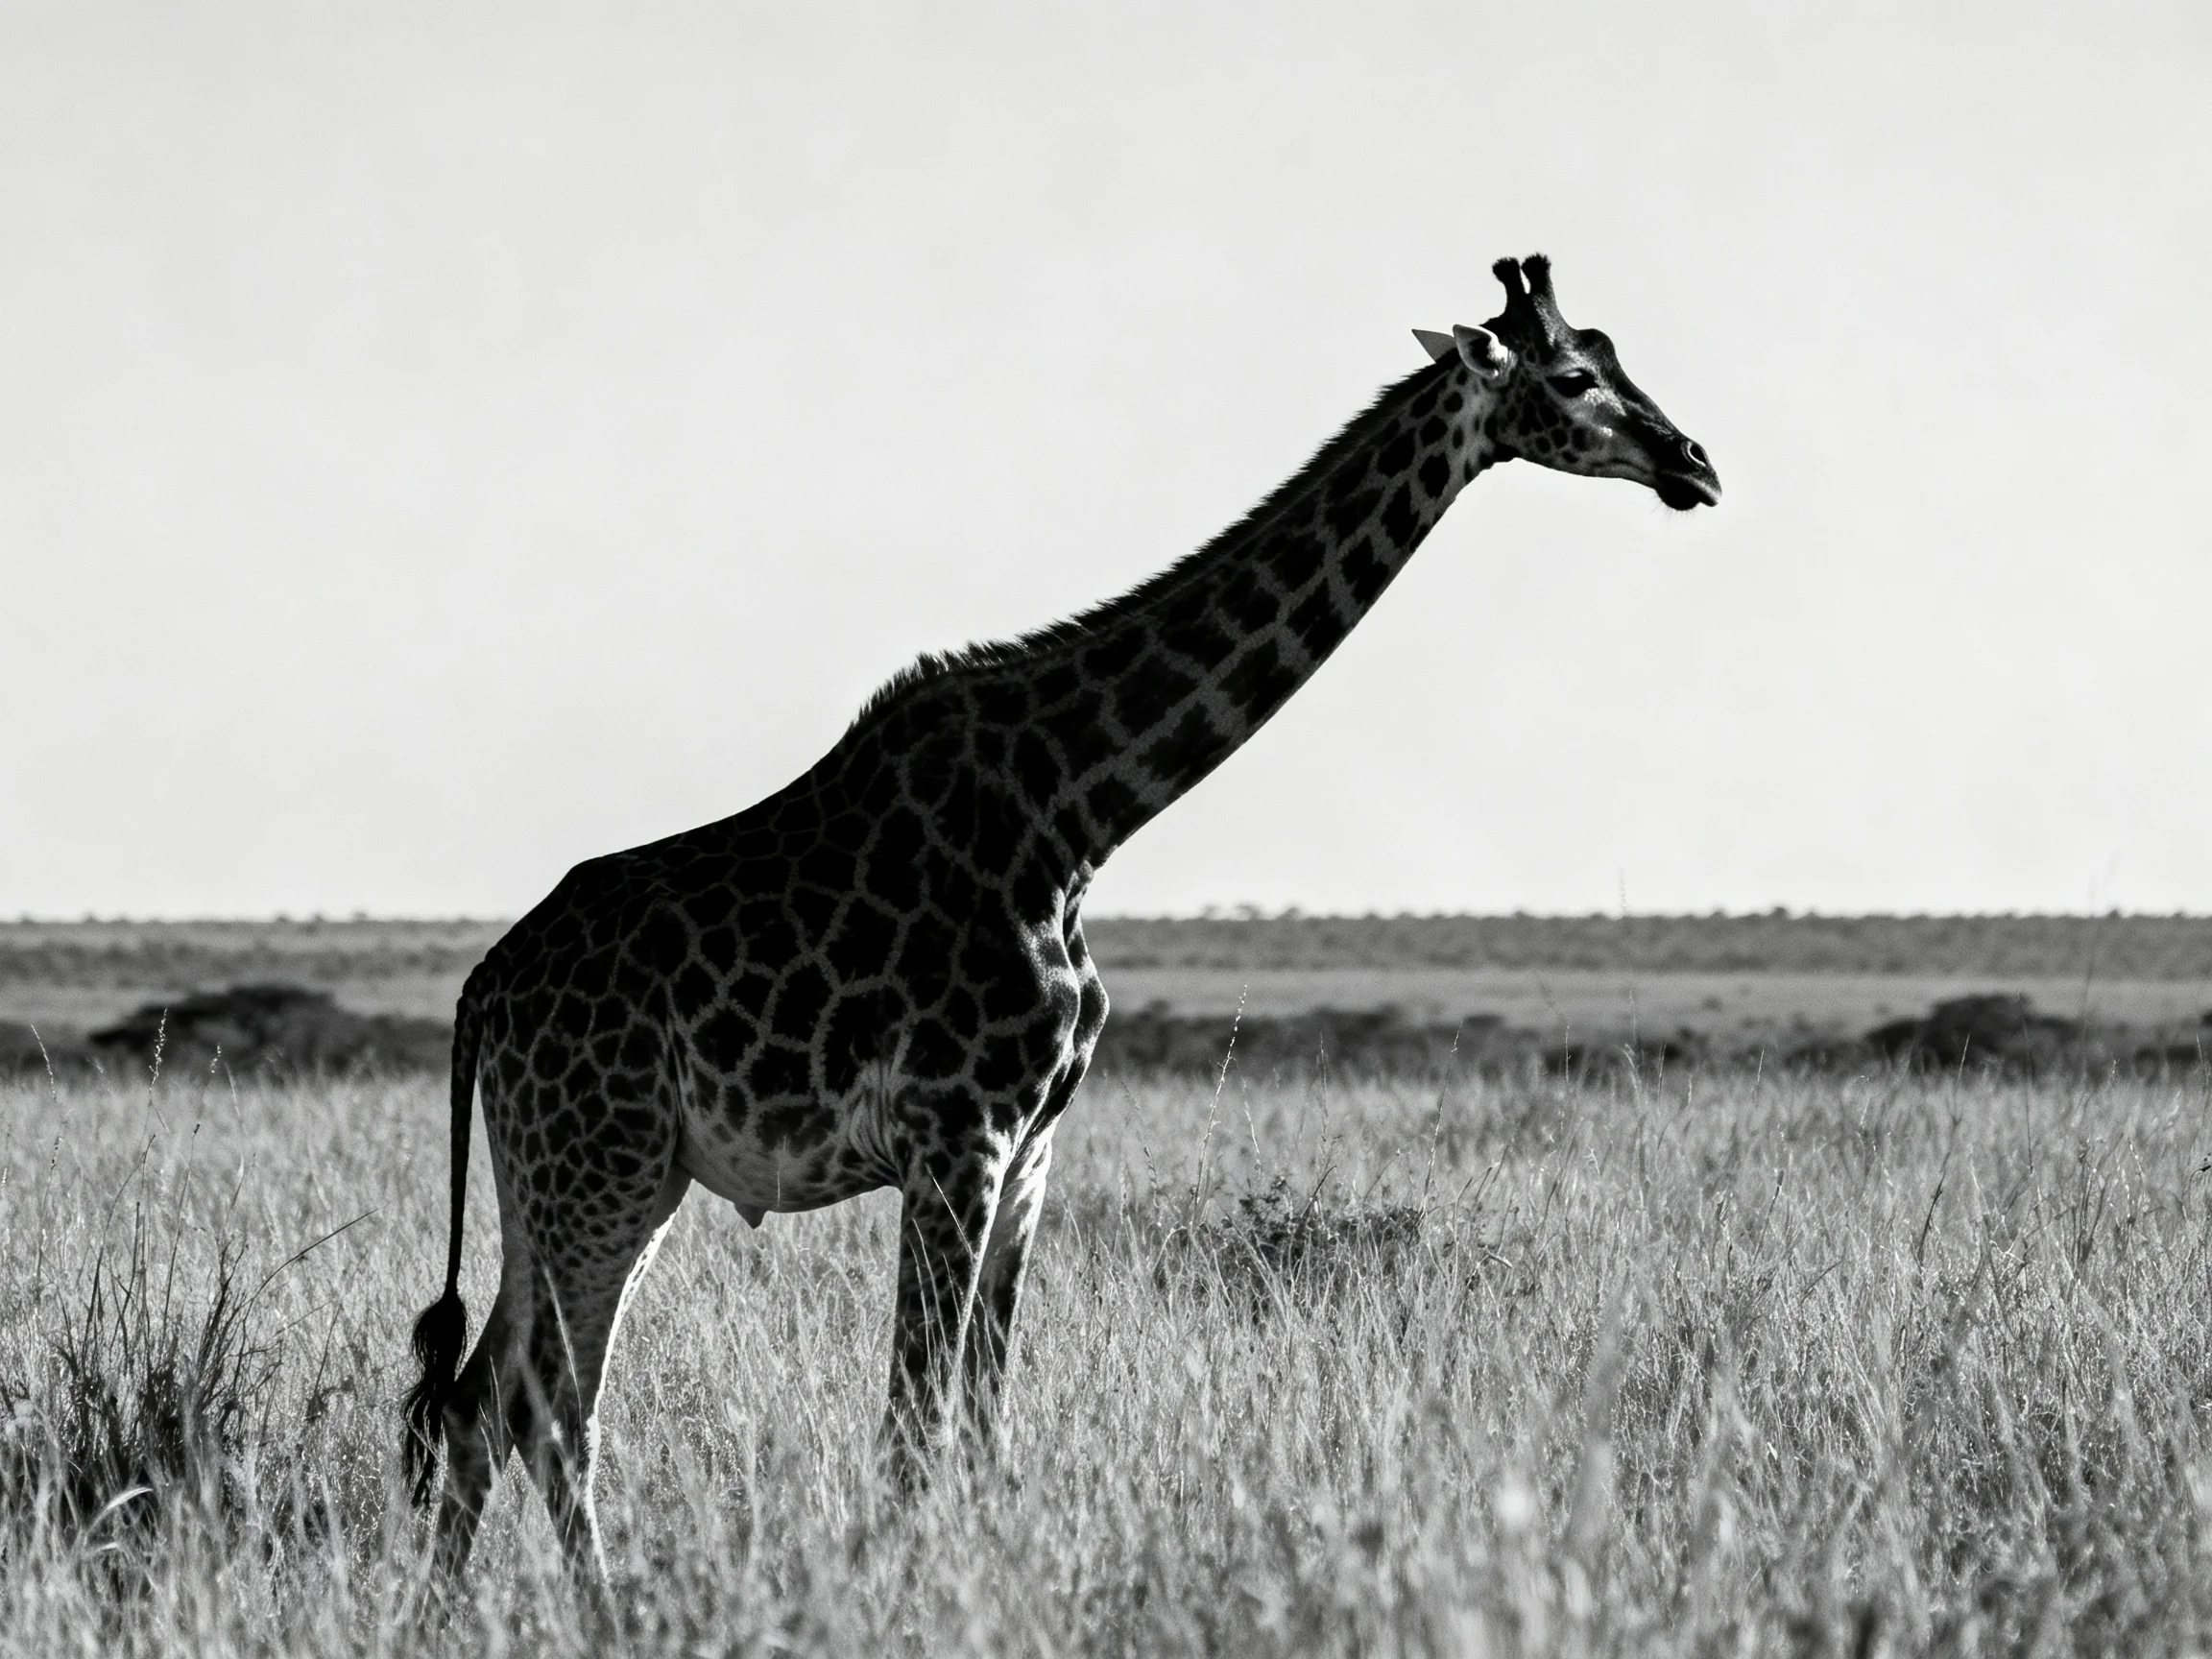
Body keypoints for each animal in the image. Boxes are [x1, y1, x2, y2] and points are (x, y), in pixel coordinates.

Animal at [401, 254, 1720, 1577]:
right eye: (1575, 375)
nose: (1698, 465)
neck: (1078, 813)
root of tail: (483, 990)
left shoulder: (1032, 1144)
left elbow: (985, 1420)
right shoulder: (958, 1135)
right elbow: (915, 1423)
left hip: (566, 1176)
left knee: (478, 1400)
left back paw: (451, 1605)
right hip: (606, 1172)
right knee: (553, 1405)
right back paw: (601, 1601)